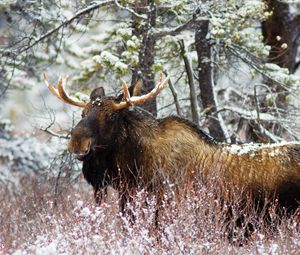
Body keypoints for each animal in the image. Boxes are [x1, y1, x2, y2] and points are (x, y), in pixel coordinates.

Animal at [44, 73, 300, 213]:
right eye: (82, 113)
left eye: (112, 116)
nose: (77, 143)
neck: (132, 166)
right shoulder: (127, 195)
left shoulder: (164, 201)